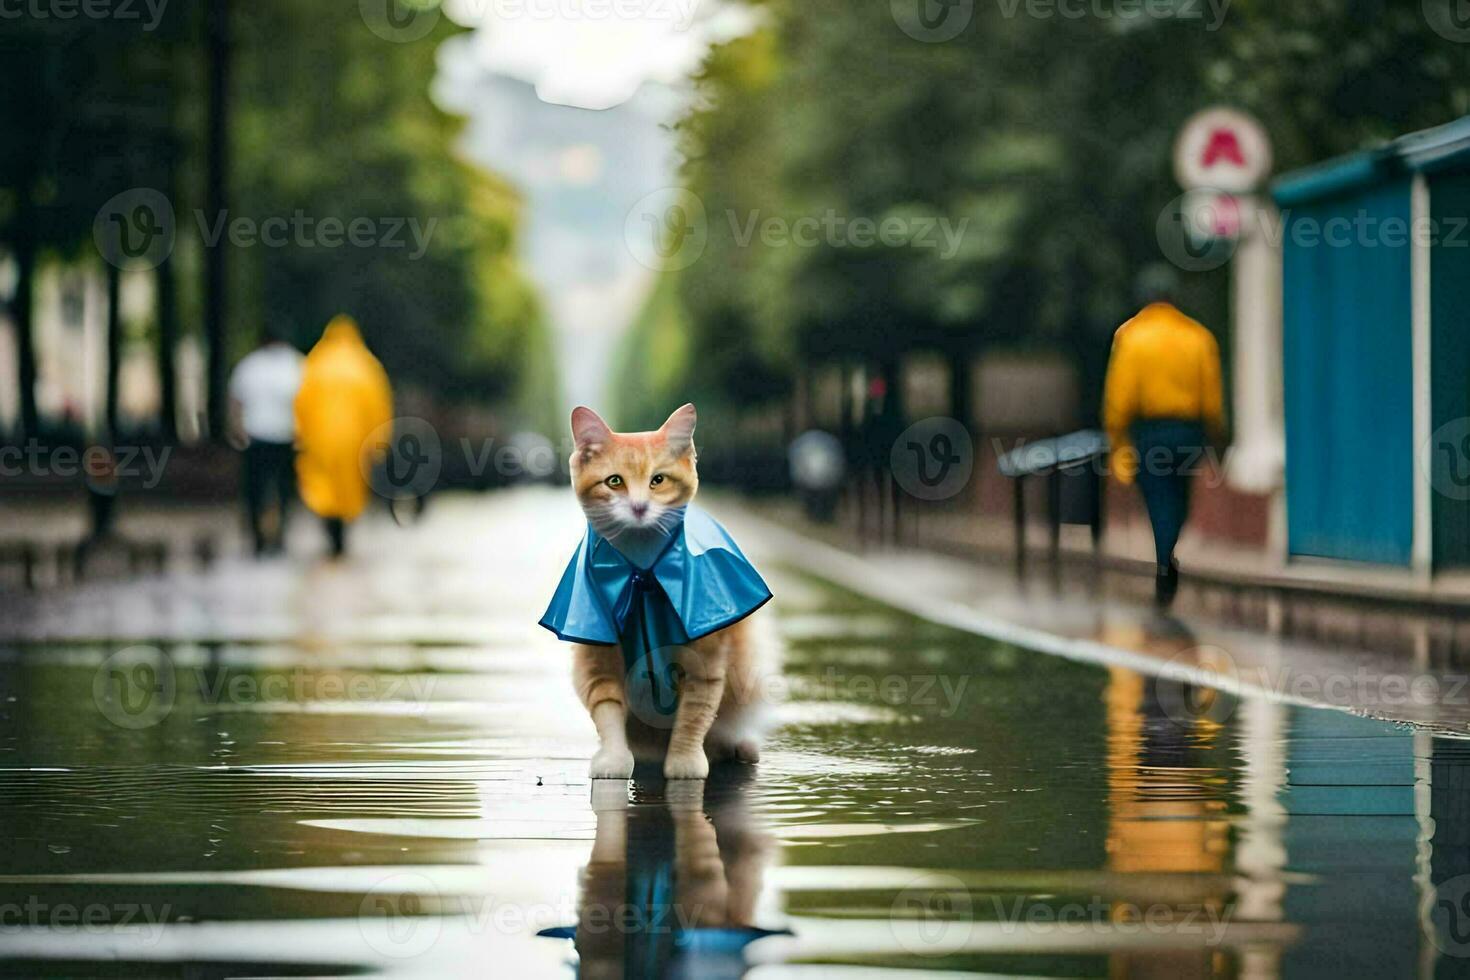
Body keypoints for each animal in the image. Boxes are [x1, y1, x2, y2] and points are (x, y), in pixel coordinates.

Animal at [564, 402, 776, 775]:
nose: (638, 507)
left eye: (657, 480)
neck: (642, 570)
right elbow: (607, 709)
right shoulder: (596, 660)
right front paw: (615, 759)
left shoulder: (705, 660)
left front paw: (685, 762)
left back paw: (738, 746)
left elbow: (694, 714)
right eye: (614, 482)